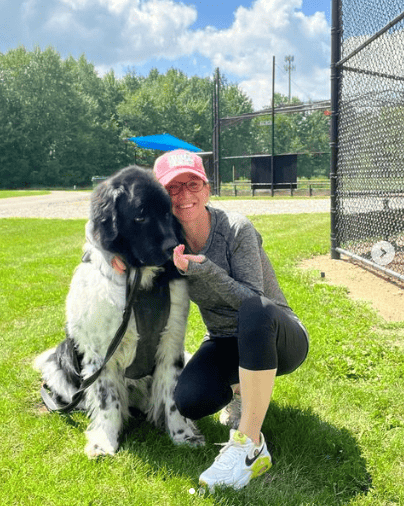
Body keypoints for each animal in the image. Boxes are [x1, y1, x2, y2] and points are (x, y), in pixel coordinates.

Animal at [34, 166, 204, 458]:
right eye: (140, 215)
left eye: (167, 212)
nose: (173, 247)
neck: (139, 279)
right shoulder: (100, 351)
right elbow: (107, 399)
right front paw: (104, 440)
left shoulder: (171, 342)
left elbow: (172, 394)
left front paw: (183, 435)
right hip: (59, 360)